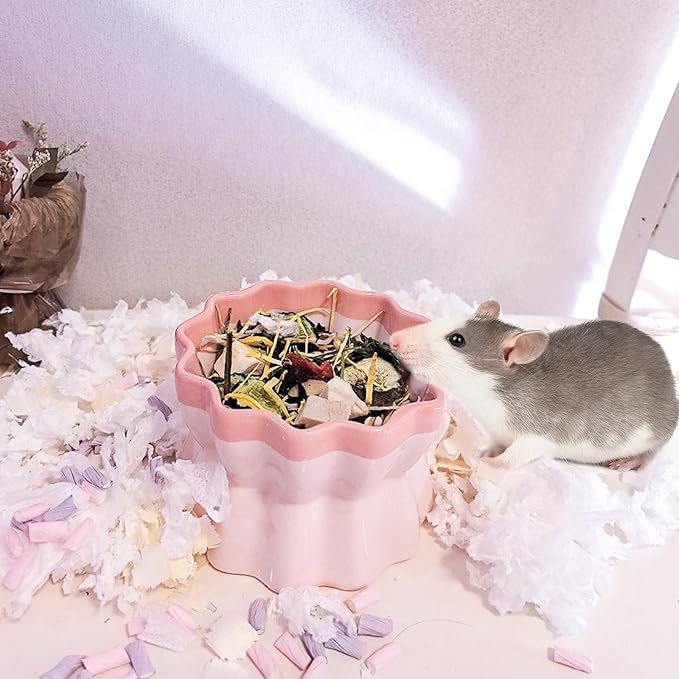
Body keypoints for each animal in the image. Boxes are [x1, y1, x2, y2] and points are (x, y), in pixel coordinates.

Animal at [390, 300, 679, 469]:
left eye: (457, 339)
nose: (394, 340)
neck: (486, 400)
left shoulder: (541, 431)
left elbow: (518, 455)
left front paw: (492, 464)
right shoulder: (495, 430)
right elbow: (494, 442)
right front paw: (483, 450)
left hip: (657, 433)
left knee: (651, 453)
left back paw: (630, 461)